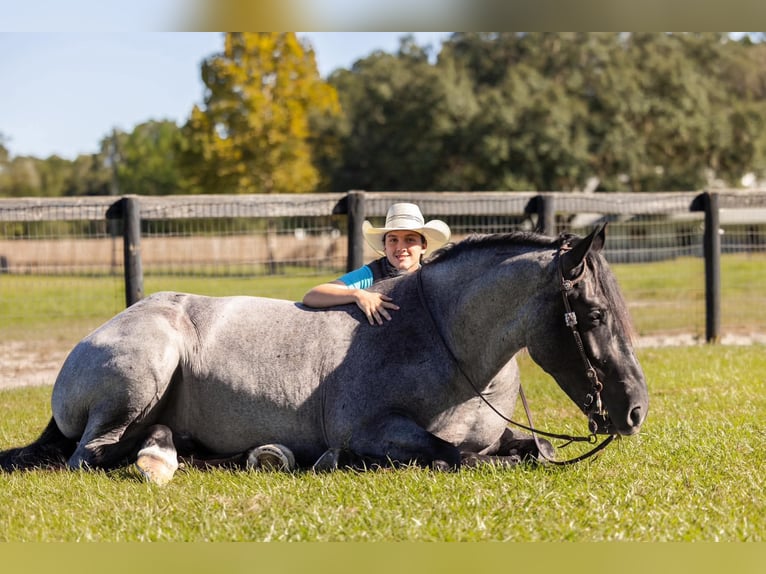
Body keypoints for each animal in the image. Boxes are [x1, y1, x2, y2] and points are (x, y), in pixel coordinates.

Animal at [0, 224, 648, 484]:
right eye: (595, 315)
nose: (636, 410)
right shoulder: (375, 431)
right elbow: (454, 457)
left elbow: (535, 449)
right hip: (142, 376)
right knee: (93, 455)